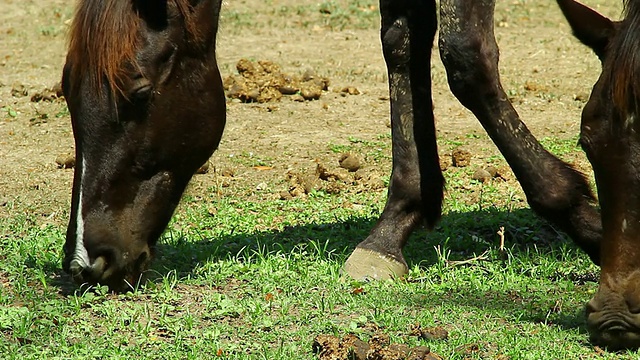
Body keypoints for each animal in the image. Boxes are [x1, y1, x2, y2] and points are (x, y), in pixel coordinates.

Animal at [63, 0, 640, 350]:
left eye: (139, 93)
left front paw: (583, 218)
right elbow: (402, 42)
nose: (88, 260)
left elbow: (465, 57)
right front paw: (394, 228)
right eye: (67, 92)